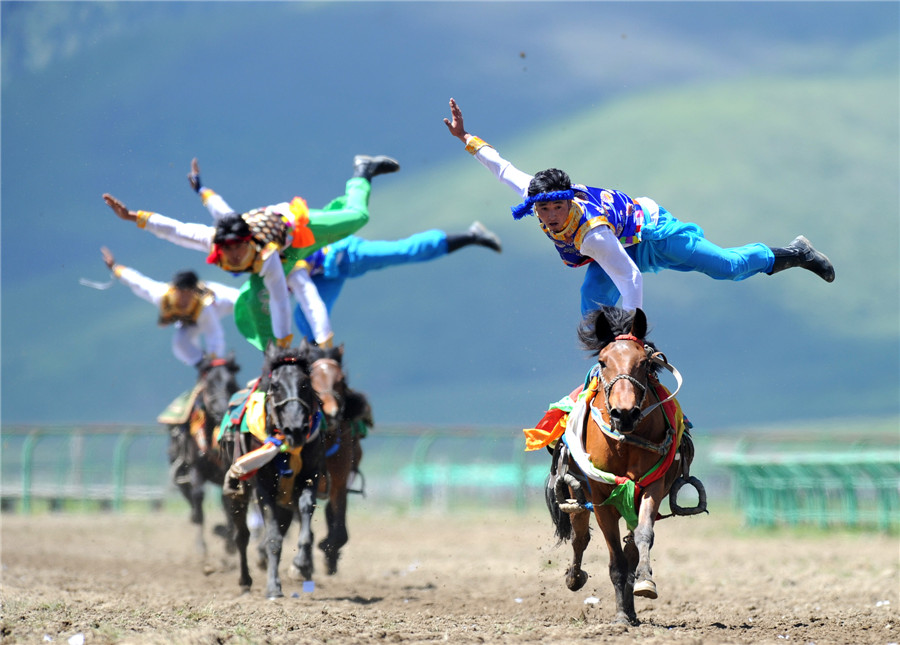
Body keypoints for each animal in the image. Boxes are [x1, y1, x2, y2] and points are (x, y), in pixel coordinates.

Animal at [162, 352, 239, 552]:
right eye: (209, 384)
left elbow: (228, 502)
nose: (222, 411)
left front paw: (229, 542)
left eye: (230, 383)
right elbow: (198, 497)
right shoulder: (195, 468)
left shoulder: (227, 470)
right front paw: (200, 546)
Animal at [221, 342, 326, 600]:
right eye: (276, 386)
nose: (295, 429)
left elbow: (305, 516)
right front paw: (273, 587)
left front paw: (301, 565)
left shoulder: (310, 475)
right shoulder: (263, 485)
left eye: (305, 383)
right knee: (241, 535)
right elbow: (272, 538)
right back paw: (245, 580)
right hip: (237, 488)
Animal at [544, 306, 708, 624]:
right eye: (602, 361)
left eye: (644, 362)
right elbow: (613, 556)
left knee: (630, 543)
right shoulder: (601, 497)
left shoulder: (651, 487)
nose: (625, 413)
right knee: (580, 537)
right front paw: (620, 615)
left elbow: (642, 537)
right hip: (576, 495)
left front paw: (644, 583)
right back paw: (575, 577)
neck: (624, 442)